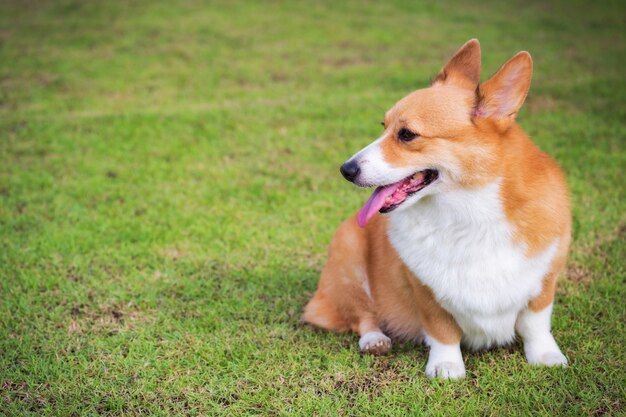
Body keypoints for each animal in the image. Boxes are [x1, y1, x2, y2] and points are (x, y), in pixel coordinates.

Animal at [300, 39, 568, 376]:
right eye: (383, 126)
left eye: (406, 134)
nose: (346, 169)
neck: (470, 211)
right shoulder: (424, 290)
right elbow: (442, 330)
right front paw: (446, 367)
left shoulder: (544, 280)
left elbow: (536, 323)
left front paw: (545, 356)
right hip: (347, 259)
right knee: (362, 314)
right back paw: (374, 339)